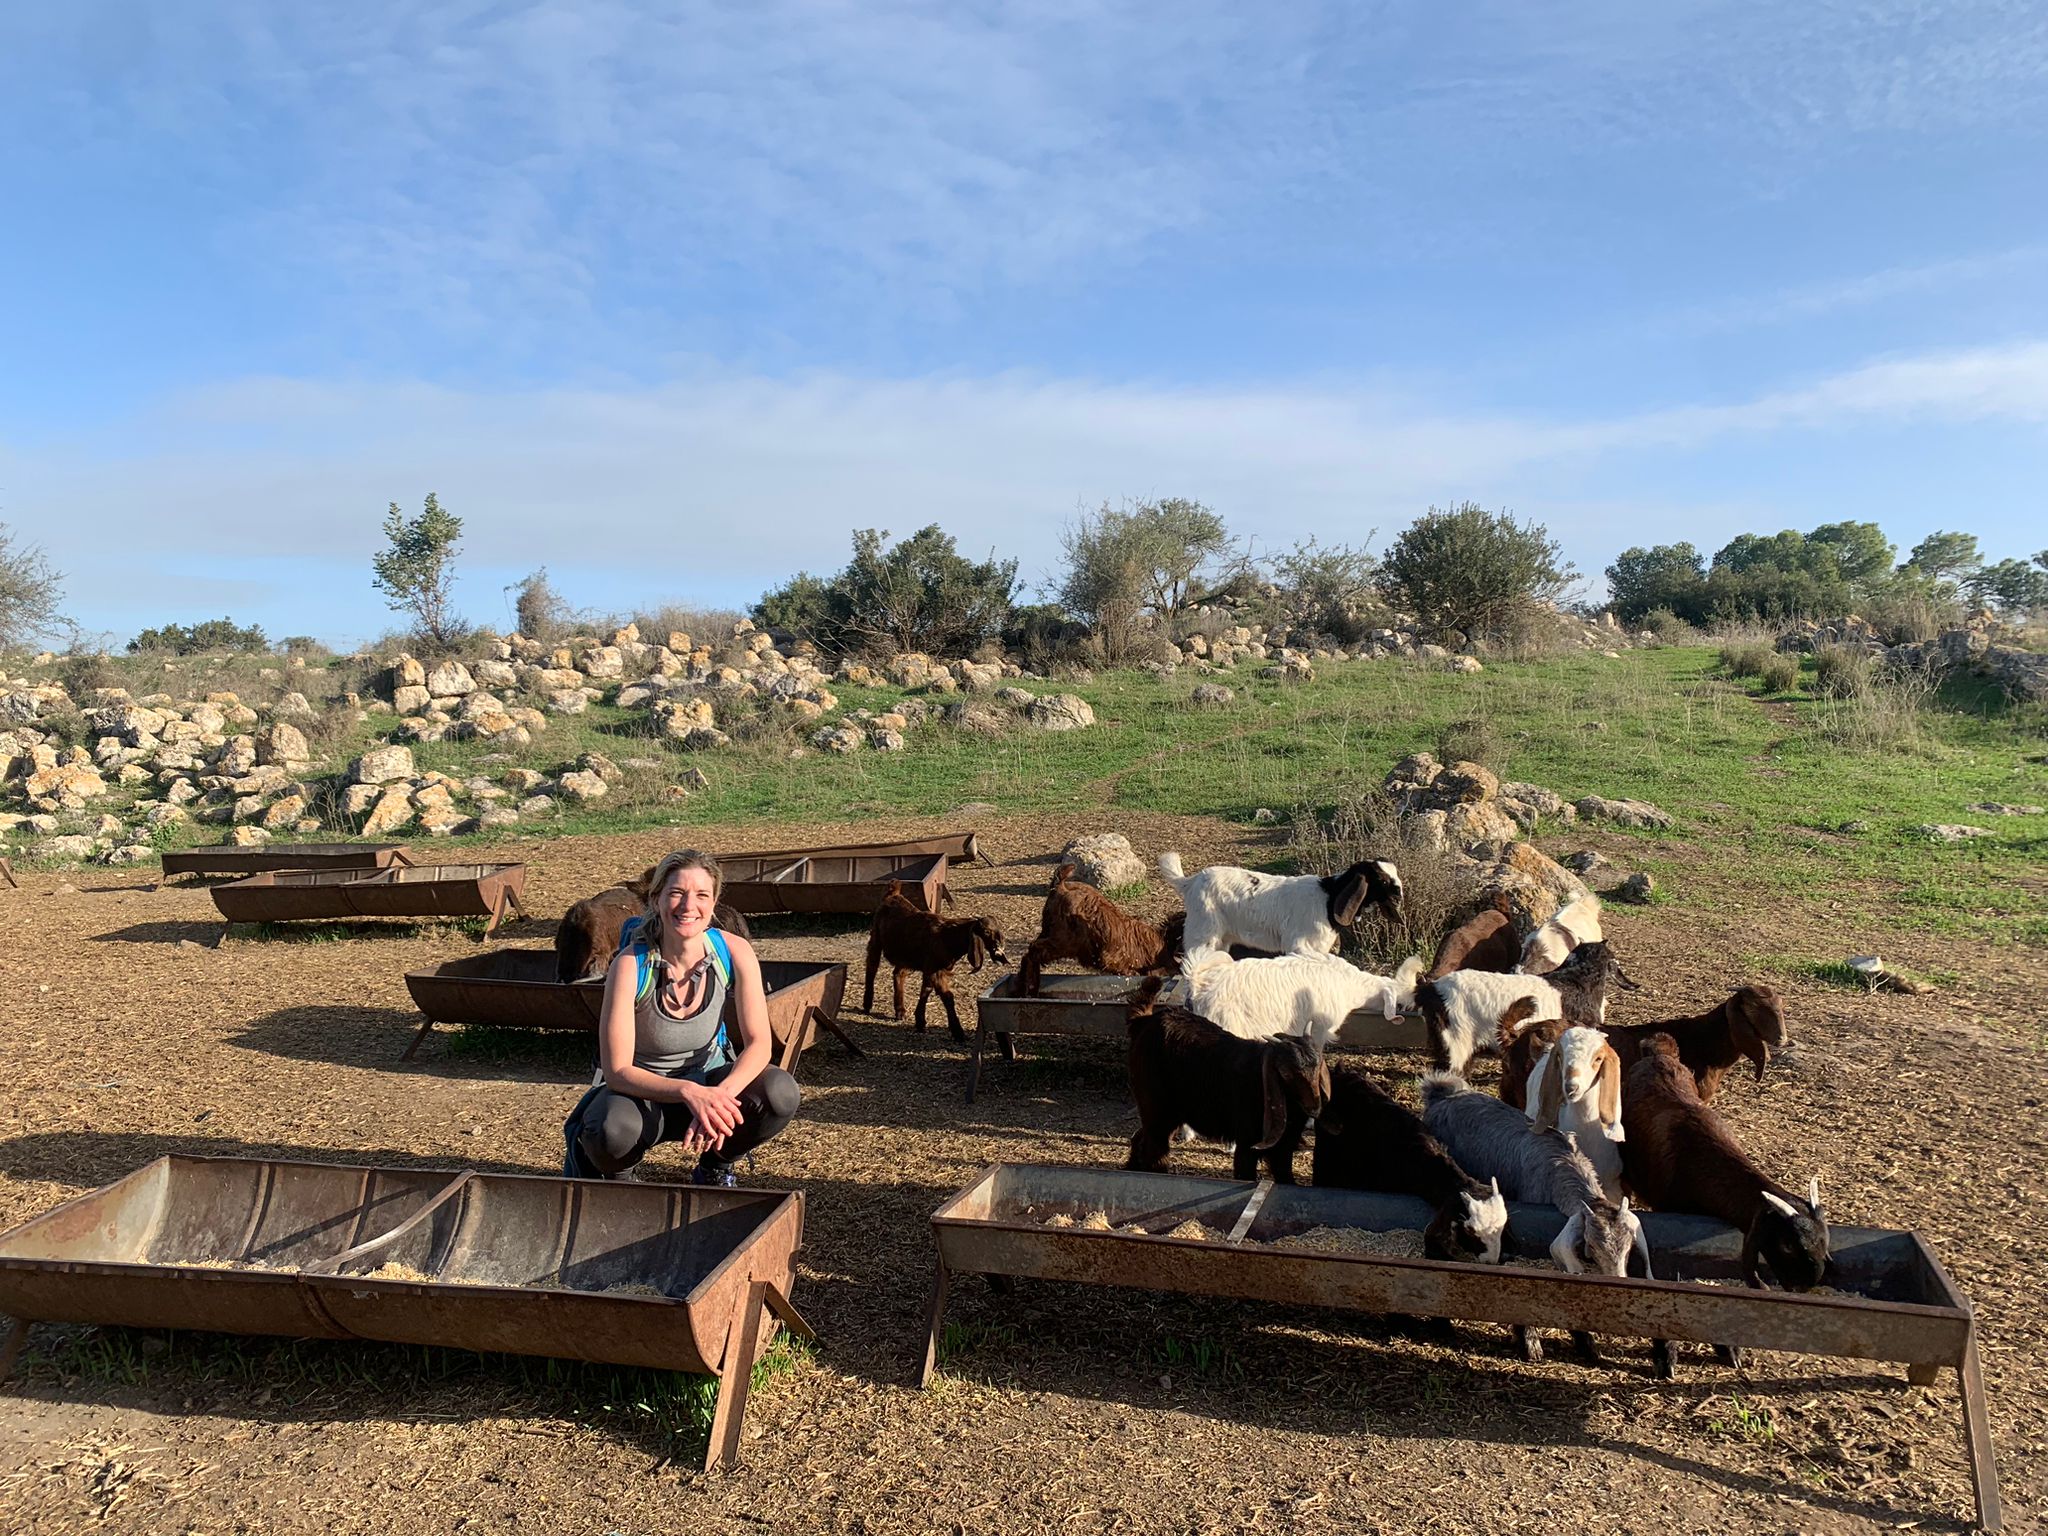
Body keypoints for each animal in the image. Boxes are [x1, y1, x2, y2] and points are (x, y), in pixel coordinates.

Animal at [861, 882, 1008, 1043]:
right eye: (986, 932)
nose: (999, 946)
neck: (947, 936)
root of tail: (894, 894)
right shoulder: (935, 970)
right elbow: (947, 997)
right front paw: (958, 1032)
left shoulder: (932, 968)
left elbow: (926, 990)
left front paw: (920, 1022)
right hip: (876, 939)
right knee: (872, 967)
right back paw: (867, 1004)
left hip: (906, 955)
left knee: (898, 973)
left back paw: (900, 1010)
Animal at [1018, 863, 1183, 995]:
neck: (1166, 943)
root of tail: (1061, 887)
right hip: (1065, 940)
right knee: (1034, 950)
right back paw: (1029, 986)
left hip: (1049, 930)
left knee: (1031, 953)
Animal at [1125, 976, 1329, 1183]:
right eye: (1286, 1073)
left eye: (1318, 1066)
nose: (1315, 1107)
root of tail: (1143, 1022)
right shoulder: (1247, 1143)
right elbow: (1244, 1175)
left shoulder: (1283, 1148)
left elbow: (1286, 1178)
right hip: (1157, 1109)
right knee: (1155, 1149)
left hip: (1167, 1113)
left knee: (1141, 1138)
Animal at [1158, 851, 1402, 958]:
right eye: (1381, 879)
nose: (1400, 892)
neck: (1329, 897)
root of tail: (1189, 882)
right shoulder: (1300, 945)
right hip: (1202, 934)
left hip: (1221, 939)